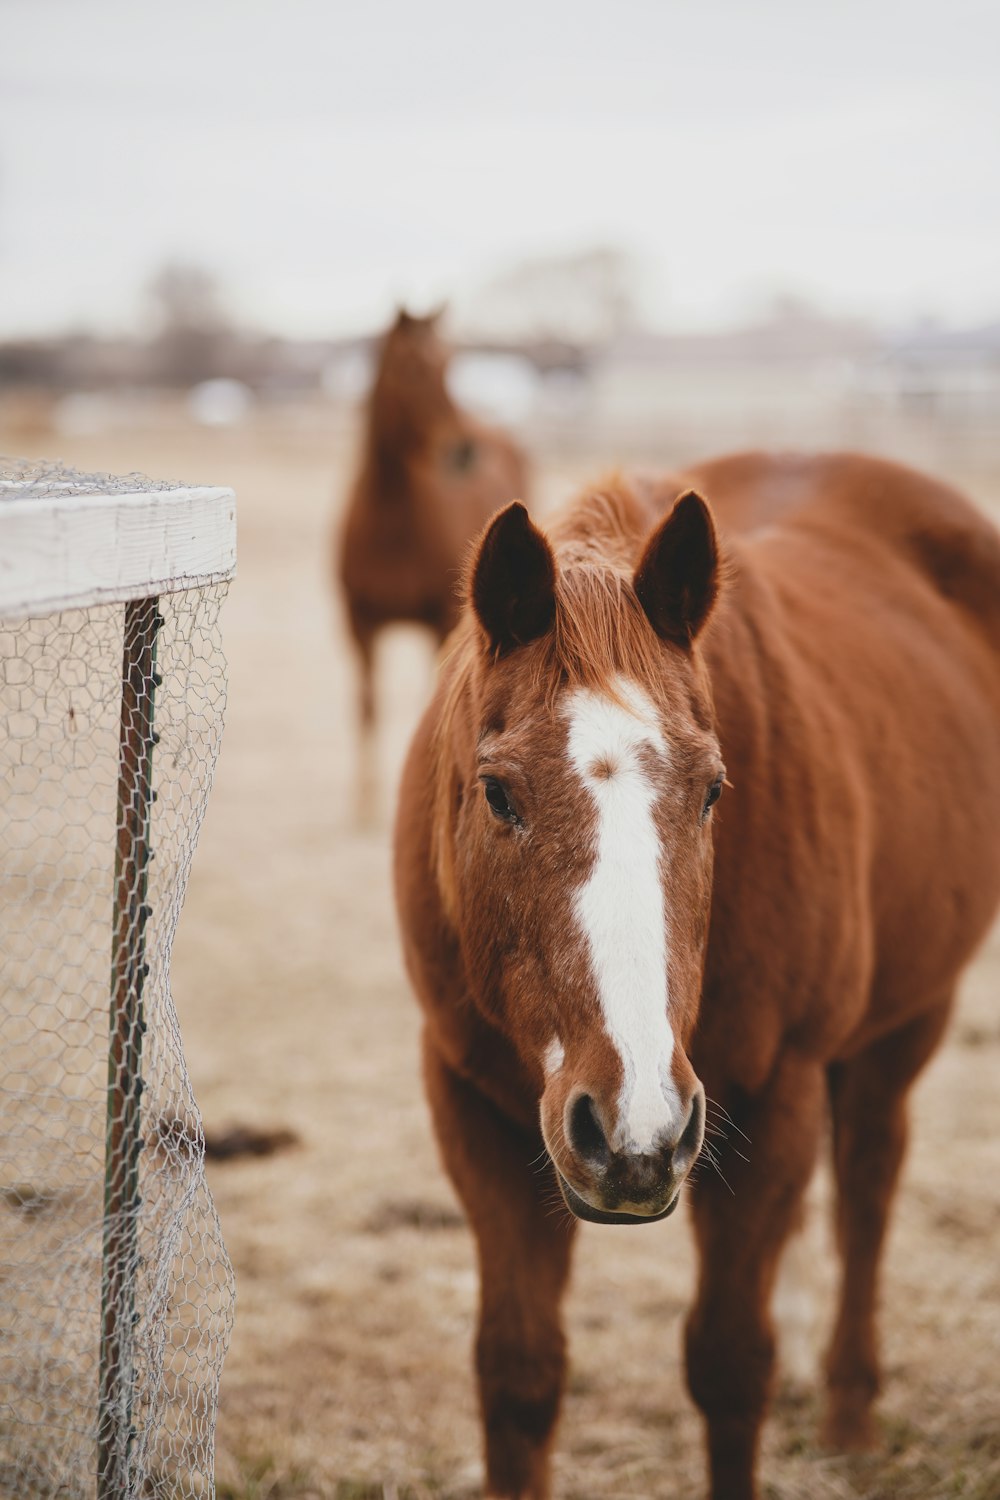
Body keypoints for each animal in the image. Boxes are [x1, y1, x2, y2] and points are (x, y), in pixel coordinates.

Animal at [338, 307, 527, 822]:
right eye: (410, 369)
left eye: (448, 364)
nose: (461, 450)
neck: (391, 524)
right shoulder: (359, 624)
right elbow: (367, 706)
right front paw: (364, 806)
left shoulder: (439, 621)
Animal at [392, 453, 1000, 1500]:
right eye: (497, 792)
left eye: (714, 790)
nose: (633, 1125)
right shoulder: (471, 1102)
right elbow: (518, 1375)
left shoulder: (775, 1092)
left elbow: (728, 1364)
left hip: (904, 1025)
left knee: (868, 1187)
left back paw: (848, 1410)